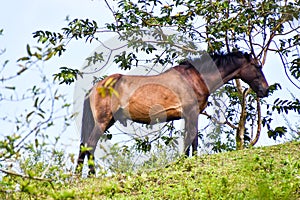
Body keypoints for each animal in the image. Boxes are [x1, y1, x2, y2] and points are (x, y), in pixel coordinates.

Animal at [75, 51, 270, 175]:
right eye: (257, 66)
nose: (265, 90)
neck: (195, 78)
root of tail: (96, 87)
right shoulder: (192, 113)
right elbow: (192, 138)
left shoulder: (188, 115)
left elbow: (189, 139)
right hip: (103, 121)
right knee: (90, 145)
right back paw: (93, 175)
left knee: (84, 146)